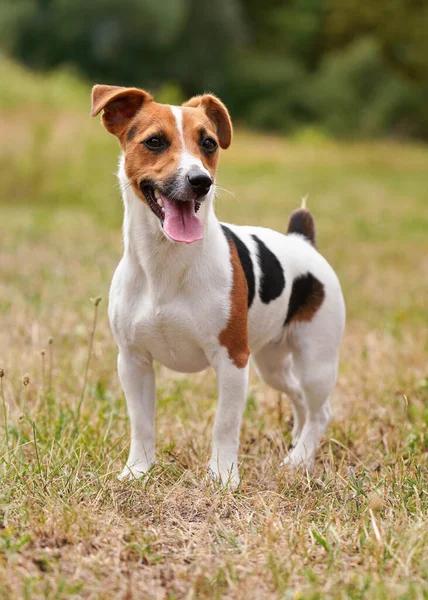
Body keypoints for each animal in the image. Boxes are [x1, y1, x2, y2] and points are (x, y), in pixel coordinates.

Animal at [92, 84, 346, 488]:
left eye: (209, 143)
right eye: (155, 141)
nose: (201, 181)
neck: (166, 262)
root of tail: (302, 240)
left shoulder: (232, 361)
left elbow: (224, 425)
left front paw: (223, 478)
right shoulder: (133, 361)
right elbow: (141, 423)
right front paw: (138, 471)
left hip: (315, 361)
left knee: (320, 410)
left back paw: (299, 460)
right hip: (272, 365)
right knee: (300, 401)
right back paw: (297, 446)